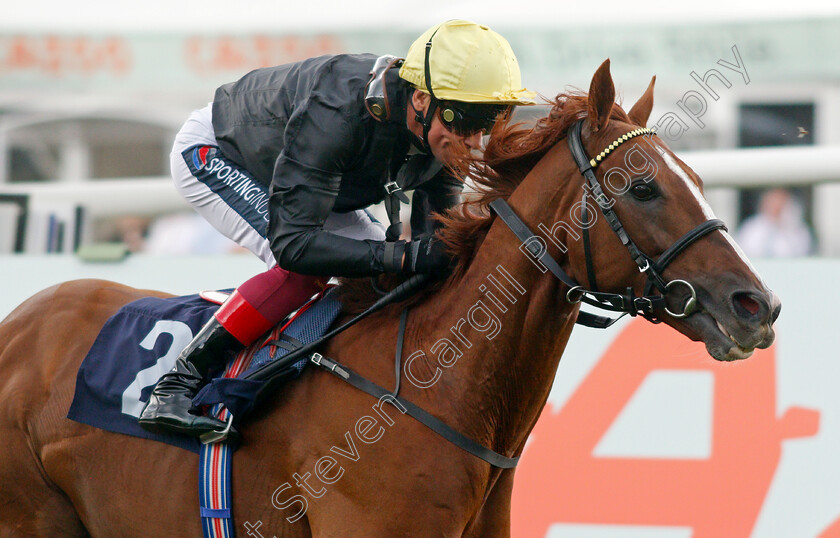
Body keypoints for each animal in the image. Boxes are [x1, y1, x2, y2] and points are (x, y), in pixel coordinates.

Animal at [0, 60, 780, 532]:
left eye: (699, 181)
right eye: (643, 186)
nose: (757, 307)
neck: (439, 386)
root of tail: (21, 323)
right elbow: (297, 246)